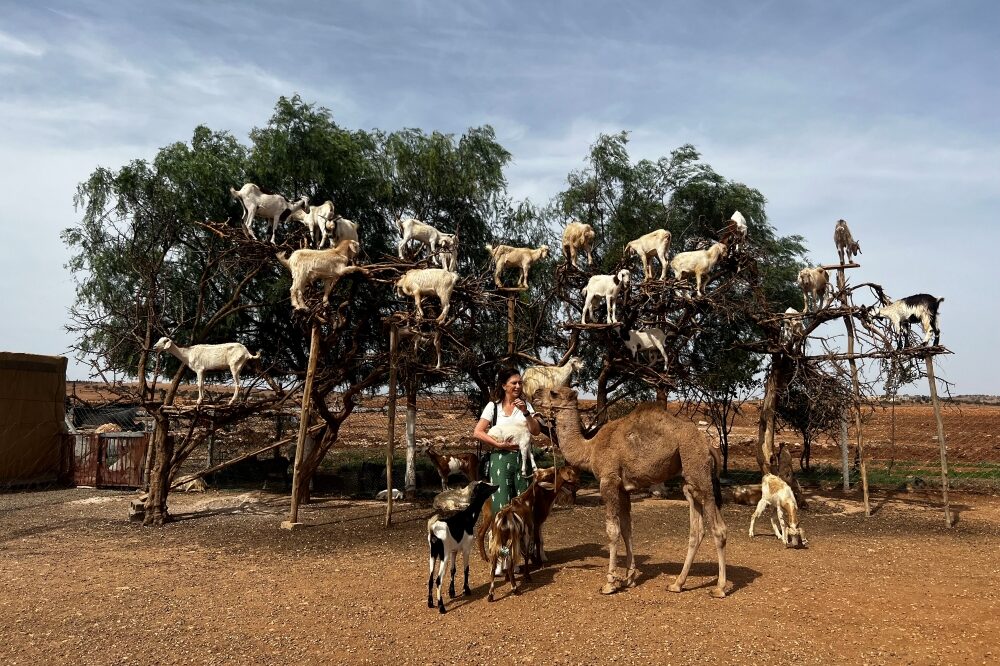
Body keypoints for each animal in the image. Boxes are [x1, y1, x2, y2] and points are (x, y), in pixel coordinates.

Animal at [426, 478, 500, 612]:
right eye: (485, 486)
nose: (496, 485)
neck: (467, 516)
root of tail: (433, 531)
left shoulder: (454, 551)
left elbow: (453, 570)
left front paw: (452, 592)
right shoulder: (466, 549)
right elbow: (466, 569)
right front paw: (467, 590)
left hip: (433, 555)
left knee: (430, 578)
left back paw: (430, 603)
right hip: (444, 556)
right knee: (438, 580)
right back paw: (441, 607)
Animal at [482, 462, 580, 600]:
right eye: (549, 475)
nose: (557, 468)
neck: (526, 501)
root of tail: (504, 518)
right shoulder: (528, 534)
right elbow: (528, 552)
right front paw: (529, 573)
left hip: (498, 541)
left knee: (494, 565)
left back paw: (491, 595)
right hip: (513, 540)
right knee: (510, 563)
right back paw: (515, 589)